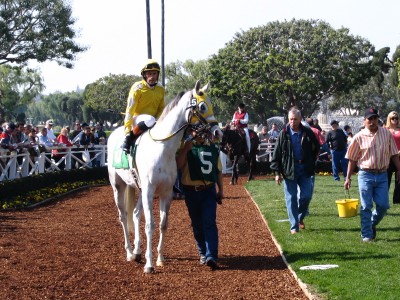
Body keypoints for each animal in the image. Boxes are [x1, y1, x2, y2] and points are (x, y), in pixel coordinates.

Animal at [107, 81, 222, 274]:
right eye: (202, 106)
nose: (218, 132)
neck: (161, 148)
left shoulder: (166, 192)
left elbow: (163, 224)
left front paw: (160, 258)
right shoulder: (149, 191)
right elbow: (150, 225)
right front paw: (149, 264)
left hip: (138, 188)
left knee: (135, 214)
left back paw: (137, 251)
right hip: (118, 186)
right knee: (123, 216)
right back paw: (130, 253)